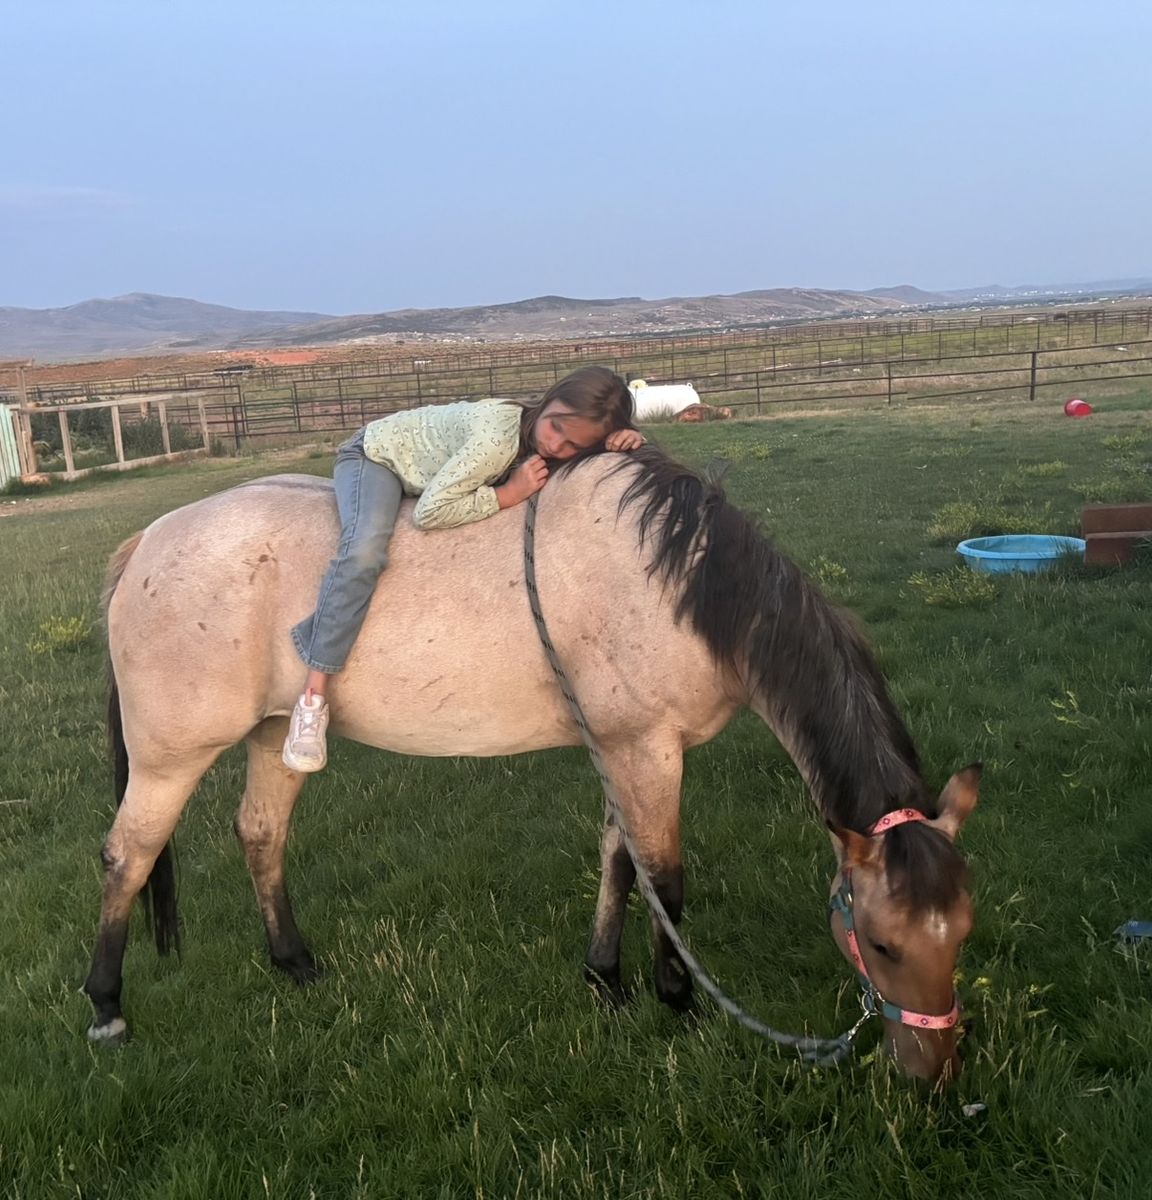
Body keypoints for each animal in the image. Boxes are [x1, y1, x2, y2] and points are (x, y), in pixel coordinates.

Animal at [85, 446, 979, 1083]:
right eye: (882, 944)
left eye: (962, 932)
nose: (932, 1073)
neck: (681, 587)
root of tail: (145, 544)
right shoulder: (647, 752)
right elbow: (666, 879)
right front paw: (677, 1001)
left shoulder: (621, 751)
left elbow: (620, 863)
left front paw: (606, 980)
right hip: (168, 761)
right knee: (129, 857)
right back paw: (106, 1008)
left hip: (279, 734)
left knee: (260, 834)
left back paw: (295, 964)